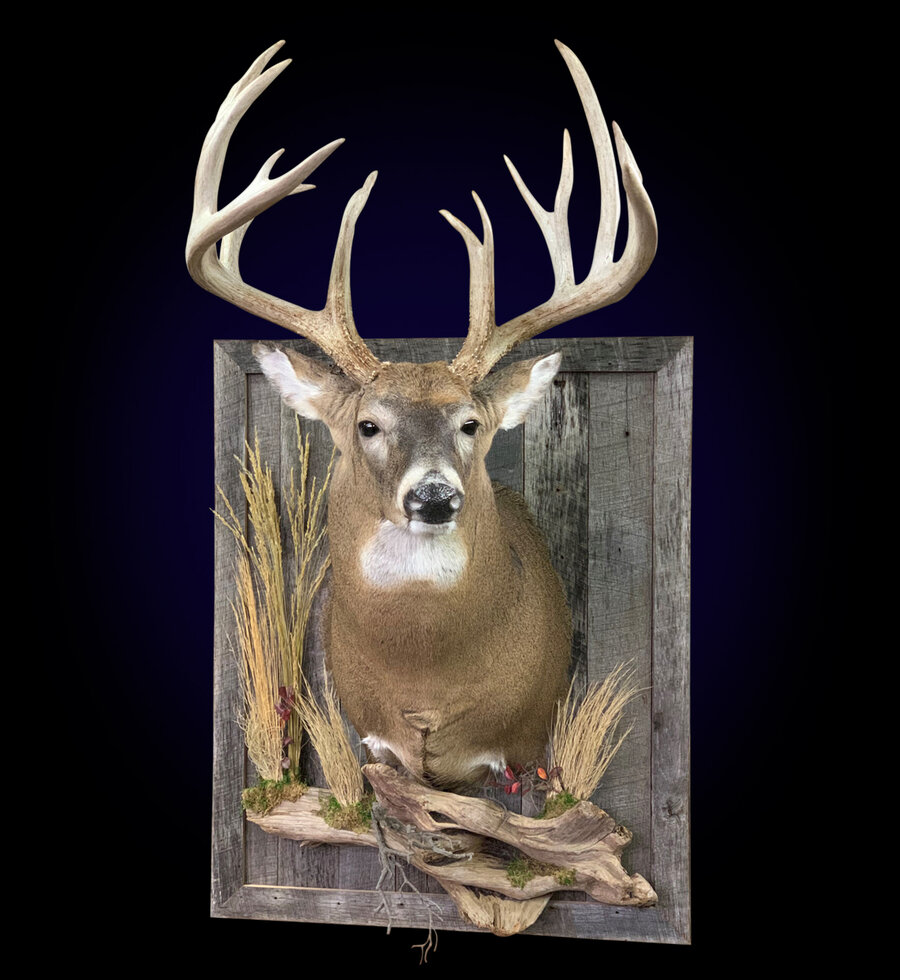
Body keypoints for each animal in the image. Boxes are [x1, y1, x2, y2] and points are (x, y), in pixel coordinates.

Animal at [188, 39, 657, 791]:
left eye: (471, 424)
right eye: (368, 425)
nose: (434, 496)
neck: (427, 684)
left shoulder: (518, 746)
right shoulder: (375, 741)